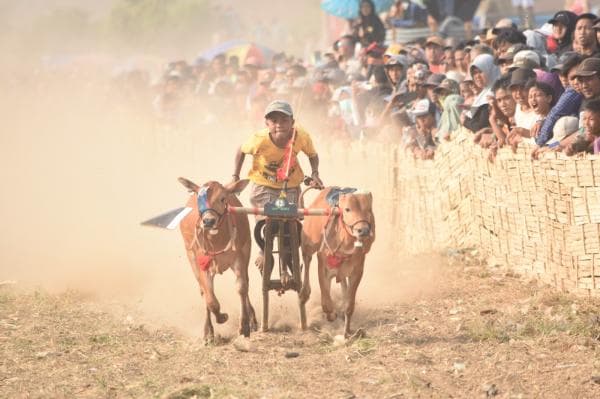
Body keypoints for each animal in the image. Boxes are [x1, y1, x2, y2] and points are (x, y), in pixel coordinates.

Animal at [176, 178, 255, 344]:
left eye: (223, 198)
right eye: (199, 199)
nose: (208, 221)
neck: (217, 239)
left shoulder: (239, 257)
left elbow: (241, 288)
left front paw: (244, 327)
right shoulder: (202, 264)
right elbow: (210, 298)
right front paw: (221, 318)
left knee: (246, 284)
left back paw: (252, 319)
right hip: (191, 257)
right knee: (203, 292)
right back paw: (208, 332)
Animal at [300, 189, 376, 340]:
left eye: (369, 209)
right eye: (347, 209)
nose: (363, 230)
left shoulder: (357, 271)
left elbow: (349, 305)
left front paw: (347, 332)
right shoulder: (323, 264)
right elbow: (326, 302)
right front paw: (331, 314)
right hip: (307, 246)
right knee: (306, 263)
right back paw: (304, 297)